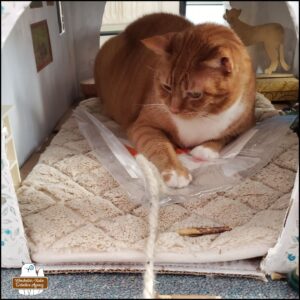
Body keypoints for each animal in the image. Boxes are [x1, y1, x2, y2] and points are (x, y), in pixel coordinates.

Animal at [94, 14, 255, 189]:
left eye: (195, 94)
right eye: (167, 87)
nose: (173, 109)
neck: (202, 118)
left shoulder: (245, 125)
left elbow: (225, 137)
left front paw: (206, 149)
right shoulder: (143, 126)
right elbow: (160, 146)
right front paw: (176, 172)